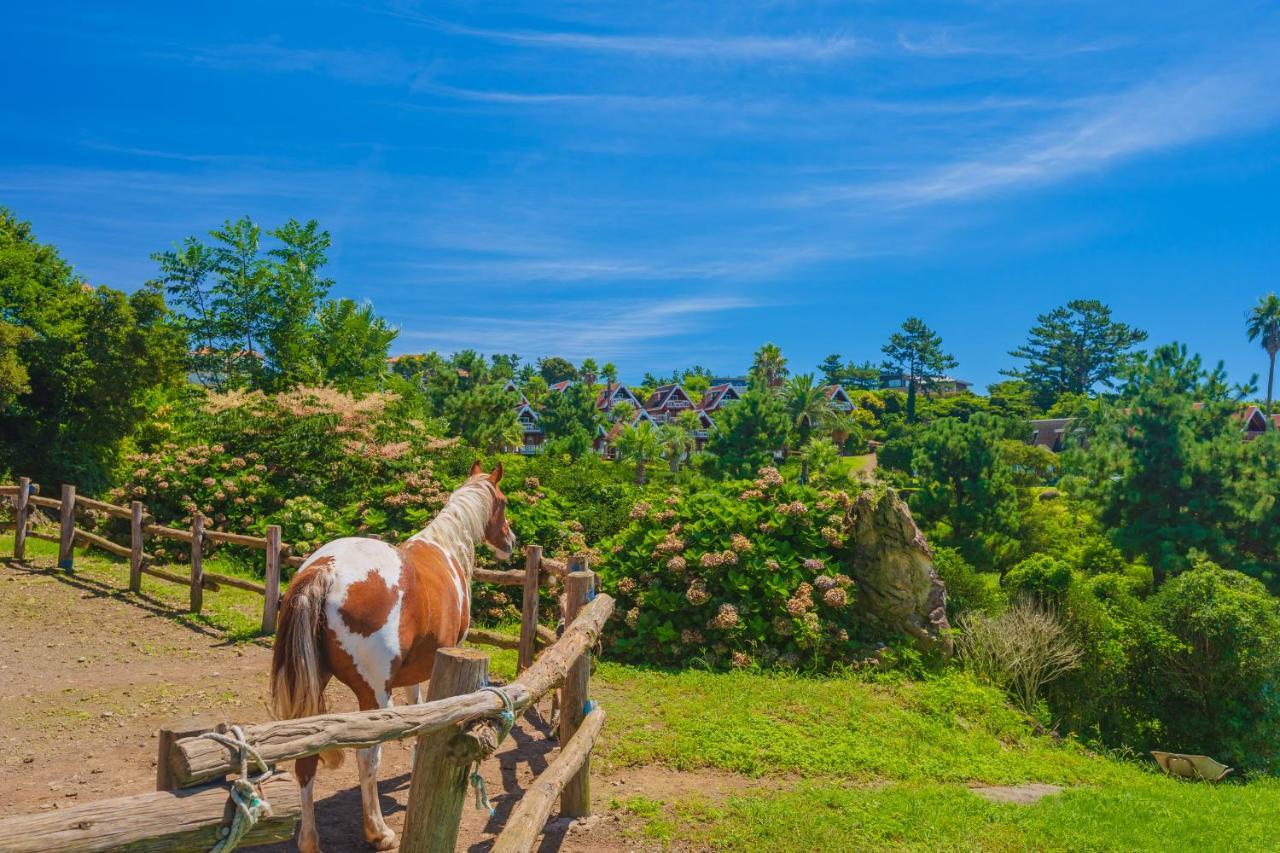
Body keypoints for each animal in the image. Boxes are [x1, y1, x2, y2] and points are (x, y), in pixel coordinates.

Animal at [270, 466, 514, 850]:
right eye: (502, 503)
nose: (511, 541)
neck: (446, 549)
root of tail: (326, 569)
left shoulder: (416, 670)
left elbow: (418, 707)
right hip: (373, 695)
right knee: (367, 757)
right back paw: (378, 832)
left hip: (312, 692)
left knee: (306, 759)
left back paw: (310, 841)